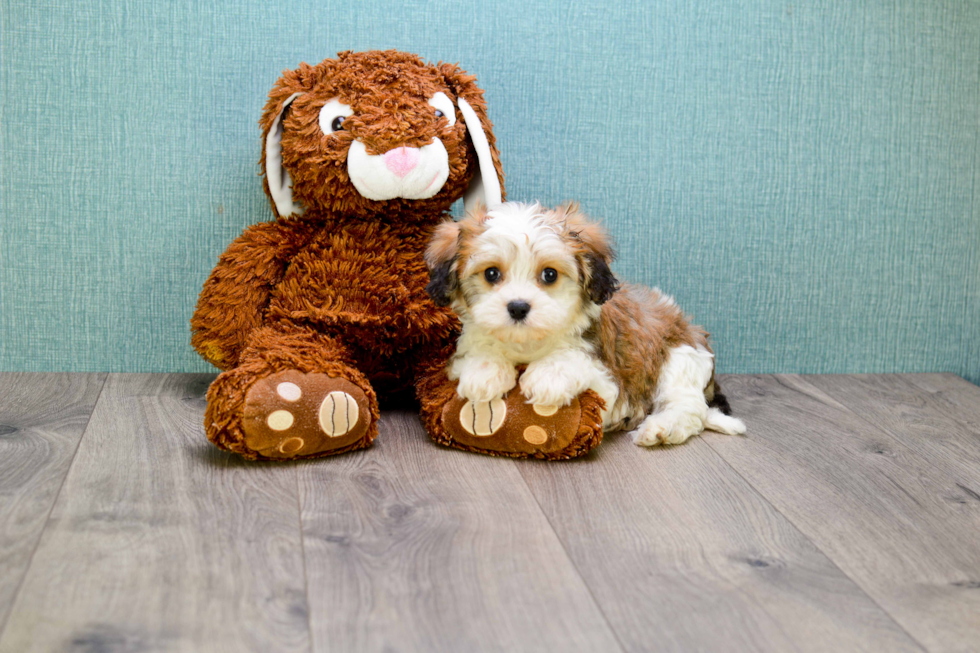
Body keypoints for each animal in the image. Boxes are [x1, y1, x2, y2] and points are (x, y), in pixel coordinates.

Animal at [424, 201, 748, 446]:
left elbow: (576, 363)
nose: (518, 307)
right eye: (491, 274)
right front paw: (484, 371)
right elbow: (476, 353)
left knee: (688, 407)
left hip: (680, 360)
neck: (527, 345)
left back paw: (660, 429)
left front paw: (550, 375)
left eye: (550, 275)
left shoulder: (609, 383)